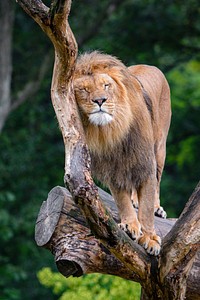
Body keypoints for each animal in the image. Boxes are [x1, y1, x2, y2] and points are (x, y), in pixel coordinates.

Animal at [72, 51, 171, 255]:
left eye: (106, 85)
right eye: (84, 89)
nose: (99, 100)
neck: (111, 131)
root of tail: (149, 65)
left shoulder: (145, 161)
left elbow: (147, 205)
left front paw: (150, 238)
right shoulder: (113, 168)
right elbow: (122, 200)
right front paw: (130, 225)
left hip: (160, 148)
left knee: (157, 183)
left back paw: (157, 208)